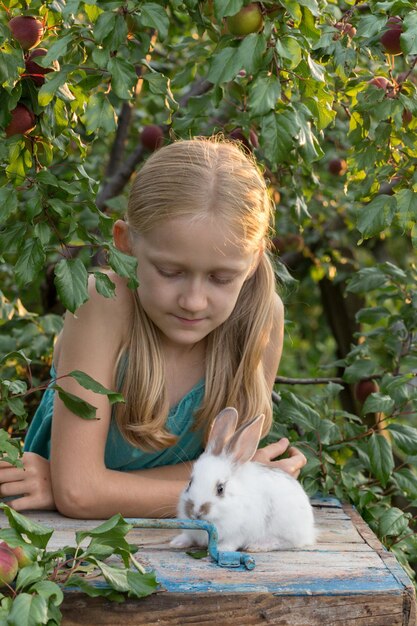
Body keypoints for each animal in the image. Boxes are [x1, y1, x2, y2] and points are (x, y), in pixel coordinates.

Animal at [170, 408, 316, 548]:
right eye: (190, 483)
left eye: (220, 489)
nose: (195, 511)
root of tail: (309, 528)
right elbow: (189, 536)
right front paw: (177, 542)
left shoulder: (240, 533)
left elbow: (232, 542)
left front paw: (222, 549)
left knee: (289, 542)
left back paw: (259, 545)